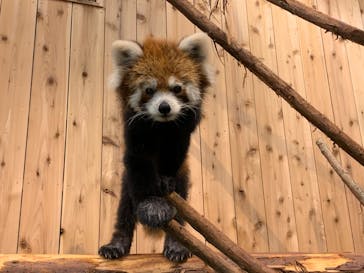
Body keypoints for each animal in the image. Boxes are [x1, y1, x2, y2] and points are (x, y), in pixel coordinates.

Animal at [98, 32, 215, 262]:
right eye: (149, 90)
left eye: (176, 88)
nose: (164, 107)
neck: (161, 126)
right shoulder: (134, 133)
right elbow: (139, 163)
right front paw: (151, 204)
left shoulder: (181, 134)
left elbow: (173, 158)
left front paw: (165, 180)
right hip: (126, 186)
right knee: (125, 211)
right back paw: (116, 244)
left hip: (184, 182)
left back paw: (177, 245)